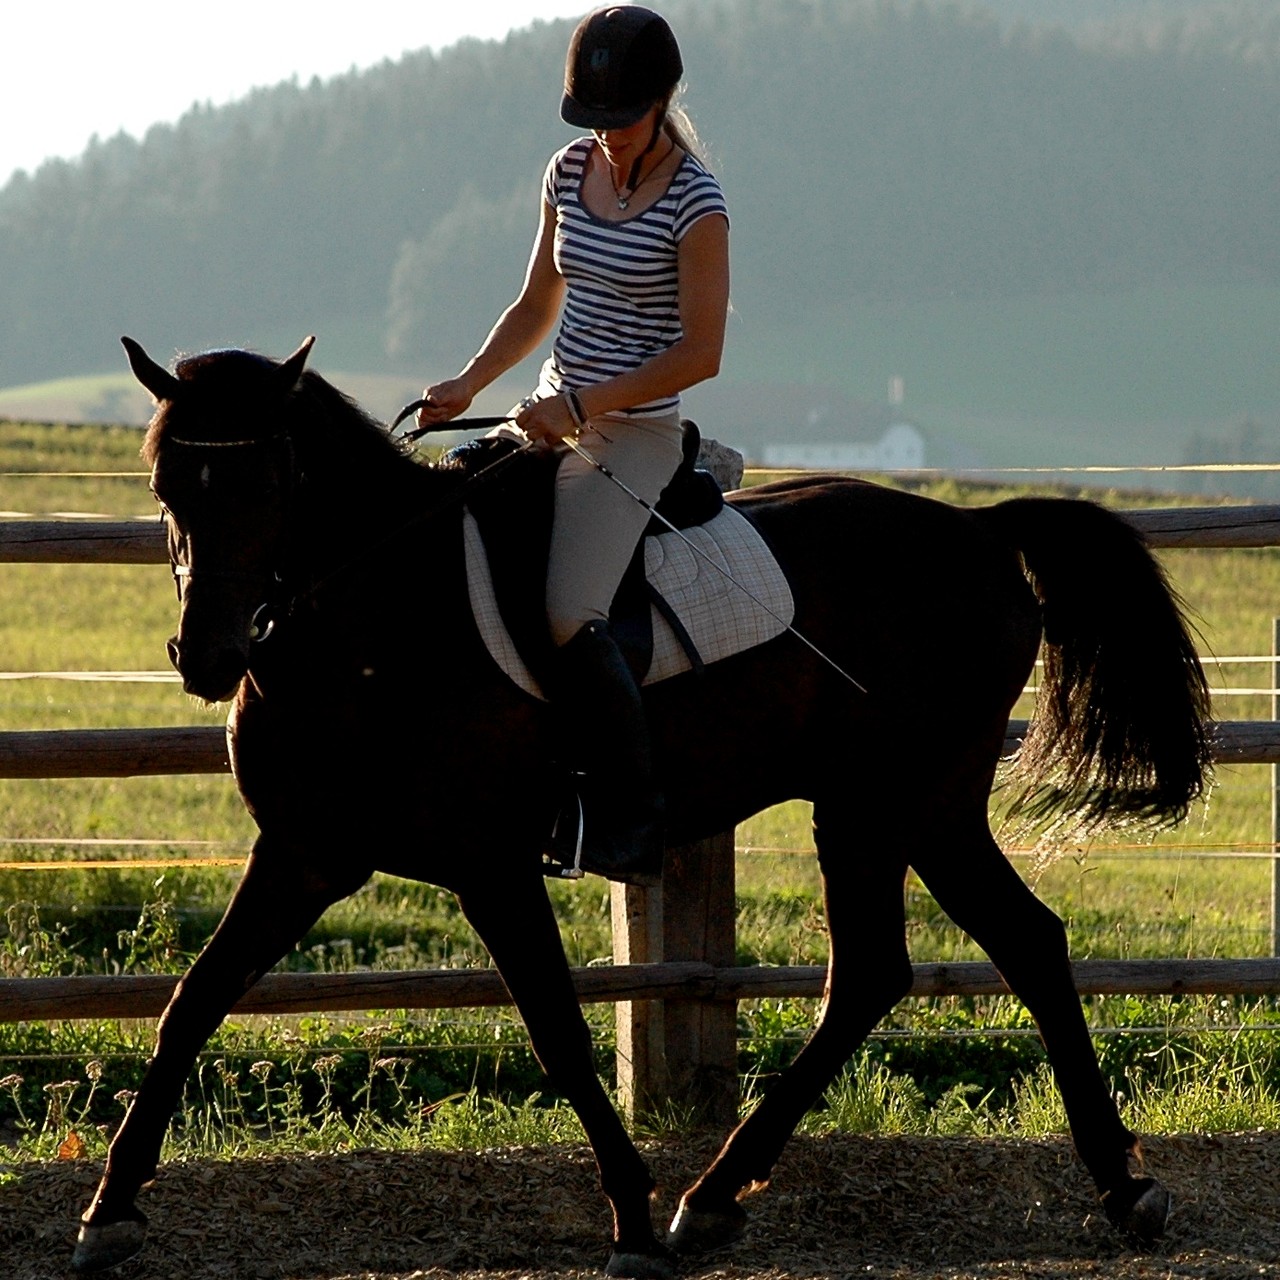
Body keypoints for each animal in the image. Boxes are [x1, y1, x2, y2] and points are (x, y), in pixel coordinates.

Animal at [70, 335, 1208, 1274]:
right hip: (907, 807)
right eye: (165, 480)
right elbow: (191, 1002)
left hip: (892, 798)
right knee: (964, 953)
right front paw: (109, 1212)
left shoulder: (489, 863)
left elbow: (558, 1033)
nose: (205, 655)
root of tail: (975, 529)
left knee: (936, 958)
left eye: (270, 476)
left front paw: (627, 1215)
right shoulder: (304, 850)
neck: (373, 622)